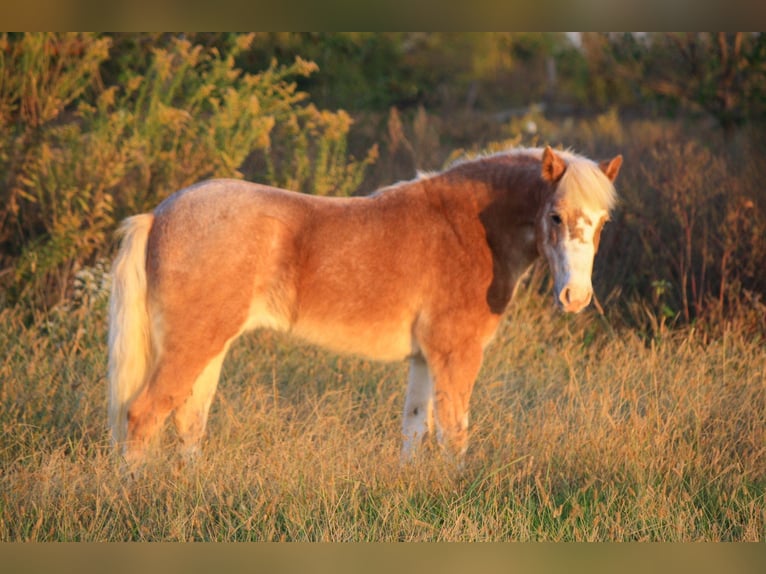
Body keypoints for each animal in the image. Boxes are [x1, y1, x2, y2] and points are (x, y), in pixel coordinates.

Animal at [108, 145, 622, 465]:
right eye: (555, 216)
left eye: (602, 223)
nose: (575, 297)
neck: (468, 229)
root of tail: (158, 215)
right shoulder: (456, 354)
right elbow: (454, 433)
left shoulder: (425, 358)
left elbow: (416, 430)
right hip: (194, 344)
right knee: (143, 415)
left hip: (210, 345)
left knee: (188, 421)